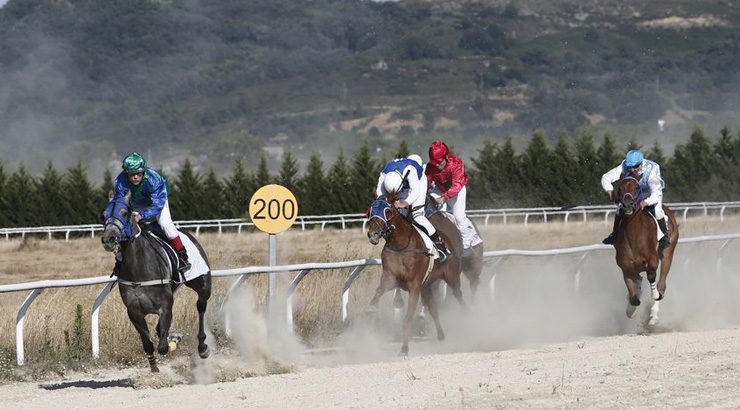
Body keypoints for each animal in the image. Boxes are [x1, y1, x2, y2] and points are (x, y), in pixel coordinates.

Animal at [101, 195, 212, 372]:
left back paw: (202, 347)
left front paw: (175, 339)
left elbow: (163, 347)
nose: (108, 239)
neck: (139, 269)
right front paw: (154, 366)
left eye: (125, 213)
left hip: (203, 284)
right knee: (160, 329)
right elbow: (149, 344)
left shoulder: (166, 306)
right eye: (102, 215)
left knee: (201, 306)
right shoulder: (134, 312)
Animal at [368, 194, 466, 354]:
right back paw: (441, 336)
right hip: (427, 286)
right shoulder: (391, 278)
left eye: (387, 211)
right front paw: (370, 309)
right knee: (433, 308)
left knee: (458, 295)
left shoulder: (414, 286)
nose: (373, 234)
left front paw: (404, 349)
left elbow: (407, 317)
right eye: (370, 210)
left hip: (451, 276)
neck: (400, 246)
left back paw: (468, 316)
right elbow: (378, 292)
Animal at [616, 176, 680, 324]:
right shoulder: (626, 267)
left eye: (636, 187)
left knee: (662, 284)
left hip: (668, 252)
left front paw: (655, 295)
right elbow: (634, 298)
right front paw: (631, 310)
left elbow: (651, 277)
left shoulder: (653, 259)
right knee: (639, 280)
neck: (633, 235)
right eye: (620, 188)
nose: (628, 205)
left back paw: (653, 314)